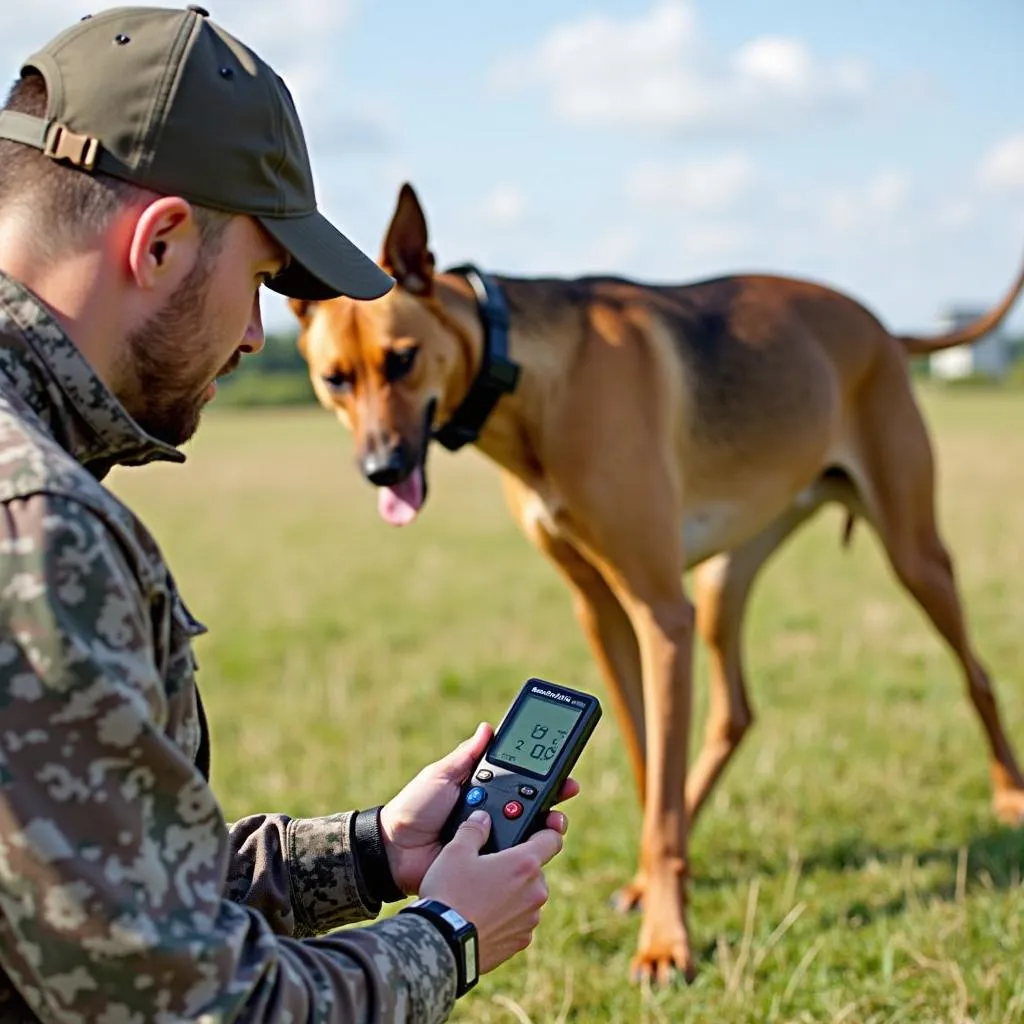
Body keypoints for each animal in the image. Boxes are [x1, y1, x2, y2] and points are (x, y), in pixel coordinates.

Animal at [286, 184, 1024, 983]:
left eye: (403, 358)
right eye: (336, 379)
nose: (382, 469)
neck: (534, 382)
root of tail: (884, 328)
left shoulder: (659, 610)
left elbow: (660, 788)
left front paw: (667, 939)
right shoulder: (602, 611)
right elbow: (650, 770)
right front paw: (652, 884)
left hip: (914, 552)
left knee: (977, 674)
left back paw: (1010, 794)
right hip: (724, 587)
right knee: (734, 712)